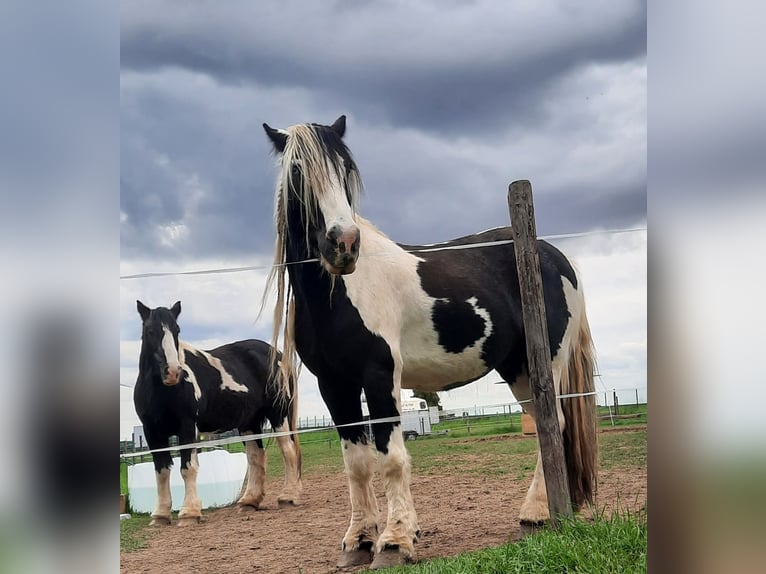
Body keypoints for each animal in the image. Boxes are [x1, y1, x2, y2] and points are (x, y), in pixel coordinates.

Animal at [134, 304, 302, 528]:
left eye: (177, 330)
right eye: (150, 331)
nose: (173, 372)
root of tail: (278, 355)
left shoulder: (187, 427)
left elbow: (187, 468)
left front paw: (189, 513)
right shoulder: (152, 432)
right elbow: (161, 472)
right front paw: (160, 515)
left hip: (279, 416)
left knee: (288, 451)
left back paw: (288, 497)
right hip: (249, 423)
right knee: (256, 456)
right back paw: (249, 501)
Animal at [262, 117, 600, 572]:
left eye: (346, 170)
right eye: (297, 172)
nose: (344, 243)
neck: (339, 293)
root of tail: (556, 255)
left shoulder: (379, 375)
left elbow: (391, 458)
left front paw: (394, 542)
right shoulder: (334, 384)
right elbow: (356, 464)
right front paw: (358, 541)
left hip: (544, 364)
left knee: (556, 425)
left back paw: (535, 515)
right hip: (518, 370)